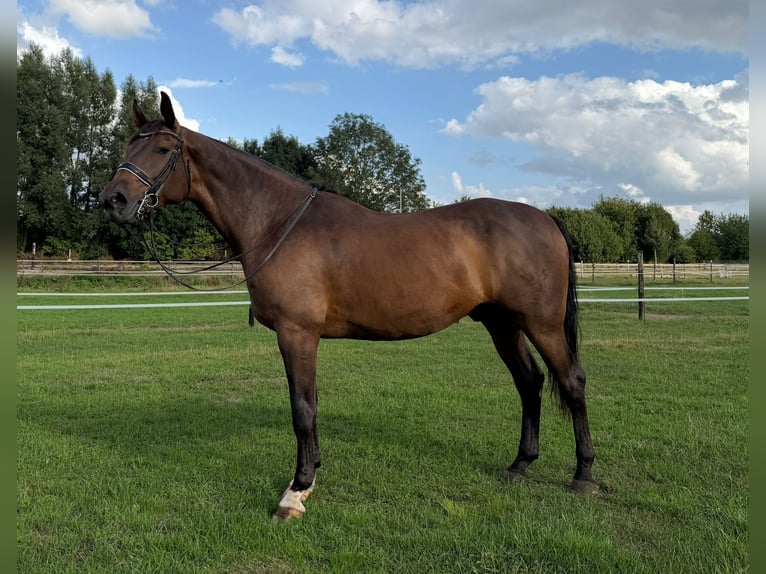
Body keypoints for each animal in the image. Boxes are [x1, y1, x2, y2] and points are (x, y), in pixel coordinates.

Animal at [100, 92, 599, 520]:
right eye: (128, 144)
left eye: (164, 147)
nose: (113, 200)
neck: (278, 221)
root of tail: (545, 218)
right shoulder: (303, 339)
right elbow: (311, 404)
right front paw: (311, 476)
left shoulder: (297, 333)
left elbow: (302, 409)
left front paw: (295, 492)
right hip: (502, 323)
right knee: (529, 382)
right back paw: (520, 465)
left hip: (541, 324)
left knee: (571, 381)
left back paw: (584, 475)